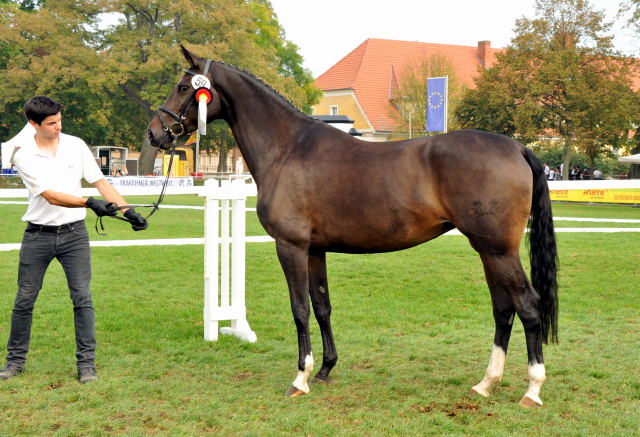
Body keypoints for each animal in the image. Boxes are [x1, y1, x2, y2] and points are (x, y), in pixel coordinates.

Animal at [148, 46, 556, 406]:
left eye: (183, 87)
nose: (156, 132)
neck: (287, 148)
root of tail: (517, 148)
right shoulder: (315, 250)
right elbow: (322, 305)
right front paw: (325, 370)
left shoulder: (291, 246)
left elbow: (299, 309)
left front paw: (300, 378)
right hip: (488, 250)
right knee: (503, 309)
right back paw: (486, 383)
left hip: (498, 250)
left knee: (528, 305)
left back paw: (533, 389)